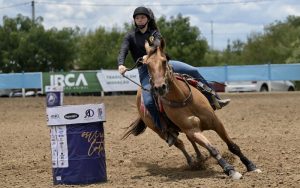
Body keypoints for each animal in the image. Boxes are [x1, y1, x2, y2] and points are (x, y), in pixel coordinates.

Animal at [123, 39, 262, 179]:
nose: (159, 88)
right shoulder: (192, 130)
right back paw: (192, 162)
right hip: (160, 131)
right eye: (147, 65)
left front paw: (251, 166)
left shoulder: (215, 122)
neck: (182, 99)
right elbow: (212, 149)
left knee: (189, 141)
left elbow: (232, 146)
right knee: (180, 143)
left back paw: (200, 158)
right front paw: (230, 170)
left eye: (164, 61)